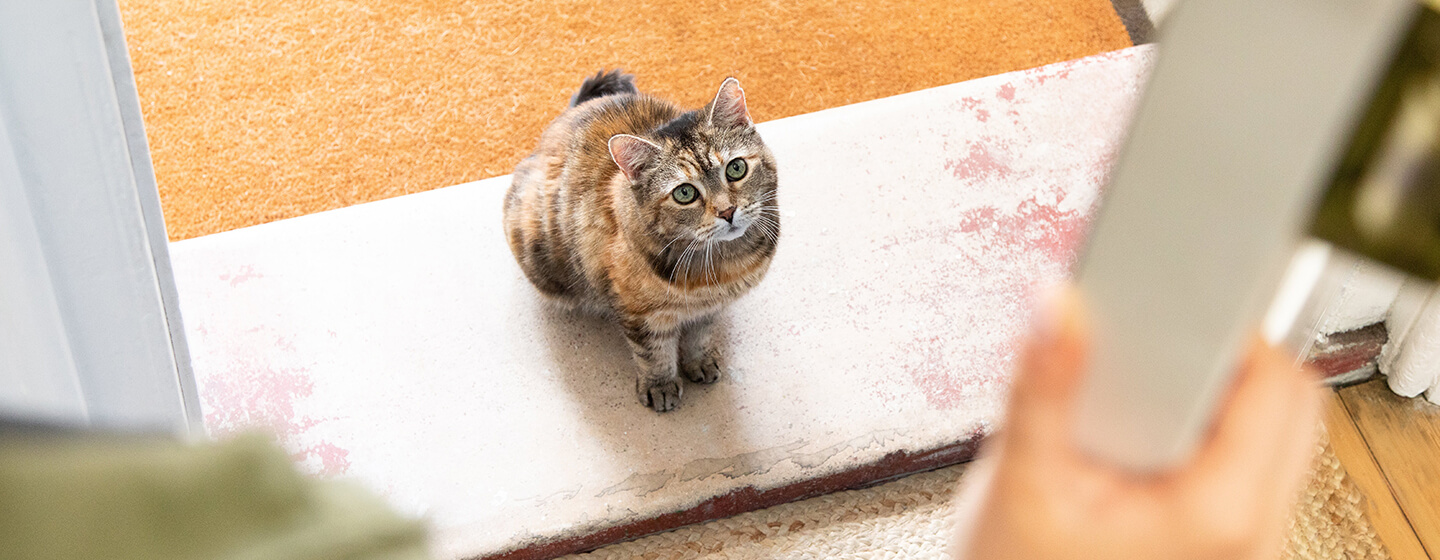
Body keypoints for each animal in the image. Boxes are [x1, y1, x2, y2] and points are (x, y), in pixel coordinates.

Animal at [504, 70, 783, 408]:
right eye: (684, 193)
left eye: (736, 168)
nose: (727, 211)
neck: (723, 265)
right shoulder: (639, 313)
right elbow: (653, 352)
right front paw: (660, 385)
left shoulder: (711, 307)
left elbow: (700, 335)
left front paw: (699, 360)